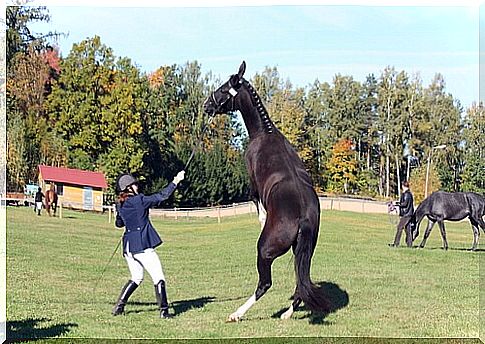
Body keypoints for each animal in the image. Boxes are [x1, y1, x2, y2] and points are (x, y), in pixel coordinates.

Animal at [202, 60, 328, 322]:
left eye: (223, 88)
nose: (207, 105)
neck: (265, 132)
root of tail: (303, 218)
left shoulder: (253, 184)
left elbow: (257, 203)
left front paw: (261, 219)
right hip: (304, 252)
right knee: (301, 282)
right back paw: (287, 313)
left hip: (265, 252)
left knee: (265, 284)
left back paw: (237, 314)